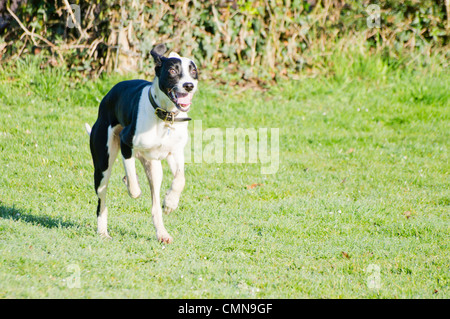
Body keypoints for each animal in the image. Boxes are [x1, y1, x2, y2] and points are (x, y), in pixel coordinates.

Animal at [85, 43, 198, 244]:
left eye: (193, 71)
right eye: (172, 70)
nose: (188, 85)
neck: (165, 116)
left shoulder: (175, 152)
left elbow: (180, 179)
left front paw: (170, 202)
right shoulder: (125, 142)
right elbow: (131, 177)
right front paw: (133, 188)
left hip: (155, 169)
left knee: (155, 206)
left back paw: (162, 233)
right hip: (103, 167)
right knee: (102, 201)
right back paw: (103, 231)